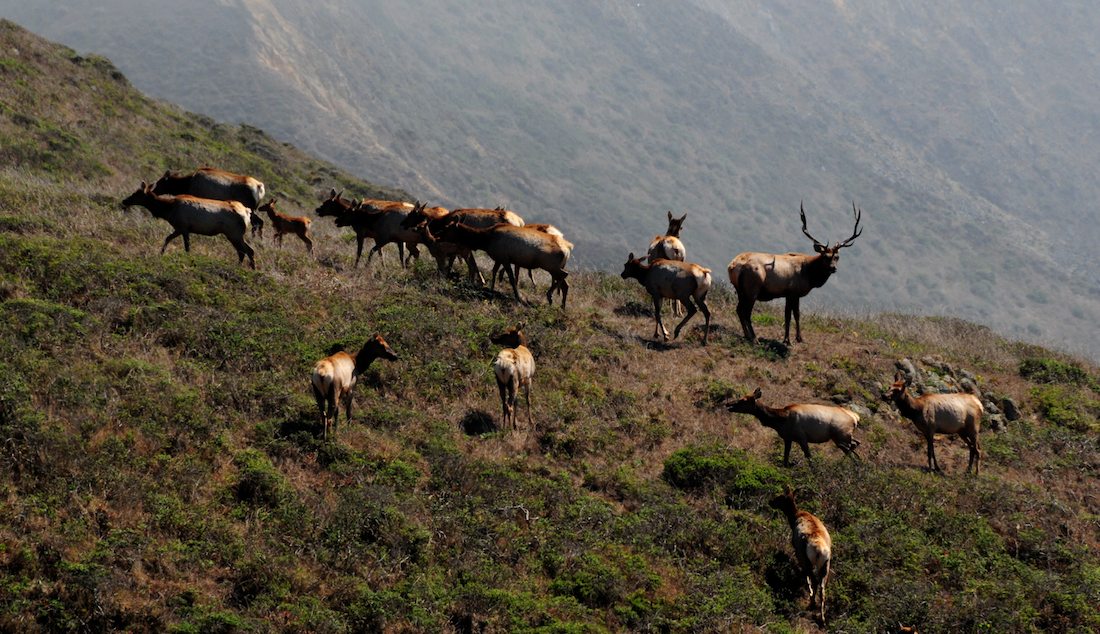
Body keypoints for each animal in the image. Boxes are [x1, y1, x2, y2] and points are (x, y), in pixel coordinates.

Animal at [121, 180, 254, 267]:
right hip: (234, 235)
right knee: (244, 251)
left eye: (137, 194)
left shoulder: (183, 227)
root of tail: (247, 213)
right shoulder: (180, 228)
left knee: (247, 251)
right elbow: (168, 238)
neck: (168, 210)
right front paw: (161, 253)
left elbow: (187, 247)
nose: (124, 201)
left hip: (234, 233)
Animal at [726, 201, 862, 343]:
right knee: (746, 312)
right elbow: (793, 315)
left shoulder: (788, 294)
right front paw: (792, 339)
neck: (809, 275)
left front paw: (792, 338)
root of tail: (733, 266)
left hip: (740, 290)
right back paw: (754, 338)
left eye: (837, 257)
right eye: (825, 256)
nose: (833, 268)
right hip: (752, 288)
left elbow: (790, 314)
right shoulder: (794, 292)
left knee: (739, 310)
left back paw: (747, 335)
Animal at [726, 387, 862, 466]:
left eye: (744, 400)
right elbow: (785, 459)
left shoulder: (802, 437)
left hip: (840, 436)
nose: (728, 404)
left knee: (851, 452)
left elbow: (809, 458)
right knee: (856, 444)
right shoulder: (788, 438)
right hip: (844, 437)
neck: (780, 420)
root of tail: (855, 417)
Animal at [770, 484, 827, 625]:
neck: (795, 516)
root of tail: (820, 550)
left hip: (808, 560)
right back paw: (822, 619)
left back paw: (812, 604)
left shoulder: (798, 552)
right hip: (826, 566)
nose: (770, 502)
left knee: (814, 581)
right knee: (823, 589)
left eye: (780, 497)